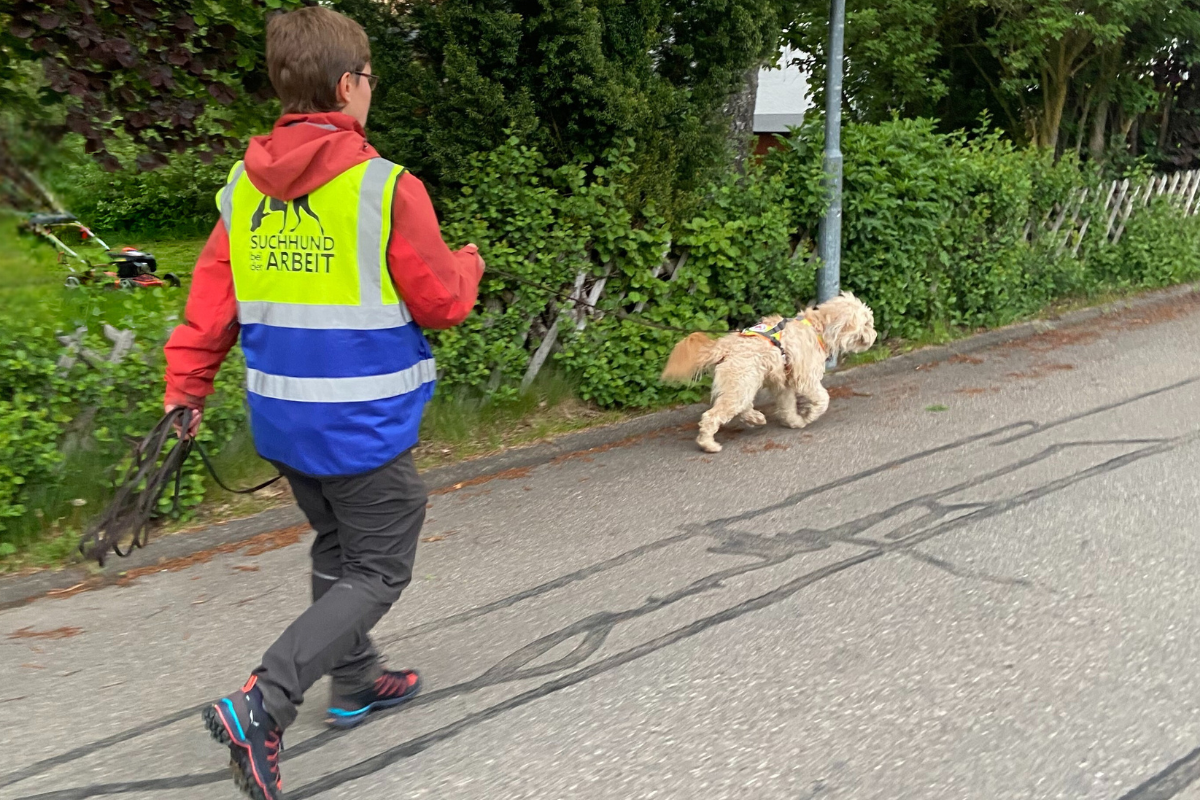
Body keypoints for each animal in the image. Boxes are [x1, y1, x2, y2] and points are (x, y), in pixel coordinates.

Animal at [662, 293, 878, 453]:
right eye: (867, 323)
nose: (875, 335)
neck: (818, 328)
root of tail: (725, 345)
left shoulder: (785, 384)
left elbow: (788, 406)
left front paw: (794, 421)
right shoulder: (805, 379)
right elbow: (823, 399)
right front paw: (809, 415)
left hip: (743, 384)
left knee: (742, 407)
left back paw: (755, 418)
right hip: (741, 383)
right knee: (713, 415)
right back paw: (709, 444)